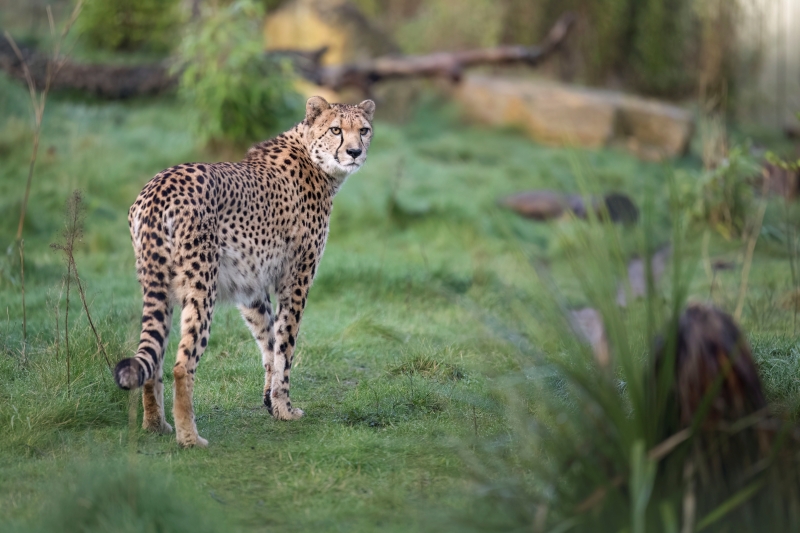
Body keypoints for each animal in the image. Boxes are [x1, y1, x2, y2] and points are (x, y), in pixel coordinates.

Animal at [114, 96, 376, 447]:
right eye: (336, 130)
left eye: (364, 130)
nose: (355, 152)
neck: (314, 157)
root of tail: (159, 186)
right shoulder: (296, 280)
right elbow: (286, 344)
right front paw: (284, 408)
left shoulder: (250, 287)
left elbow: (269, 341)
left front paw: (271, 402)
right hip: (201, 288)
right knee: (182, 365)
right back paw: (190, 438)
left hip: (159, 285)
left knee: (154, 357)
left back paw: (157, 425)